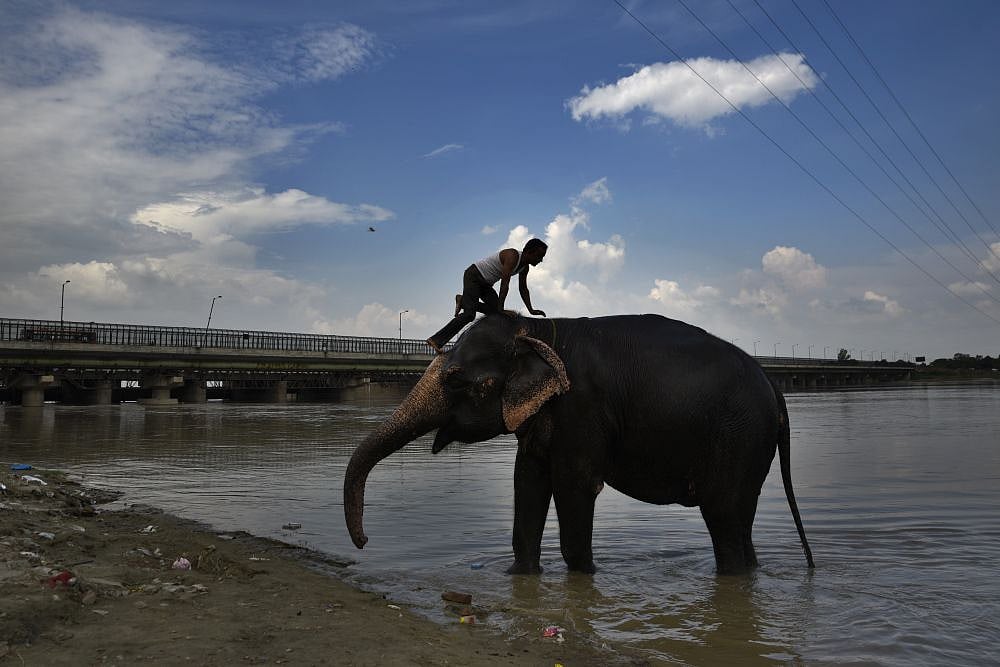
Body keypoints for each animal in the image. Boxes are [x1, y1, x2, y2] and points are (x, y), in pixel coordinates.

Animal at [344, 313, 815, 575]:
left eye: (457, 379)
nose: (364, 542)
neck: (540, 330)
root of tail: (775, 387)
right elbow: (528, 482)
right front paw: (517, 576)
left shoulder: (583, 406)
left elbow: (574, 485)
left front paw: (585, 575)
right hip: (749, 446)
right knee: (740, 522)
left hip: (738, 438)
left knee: (723, 520)